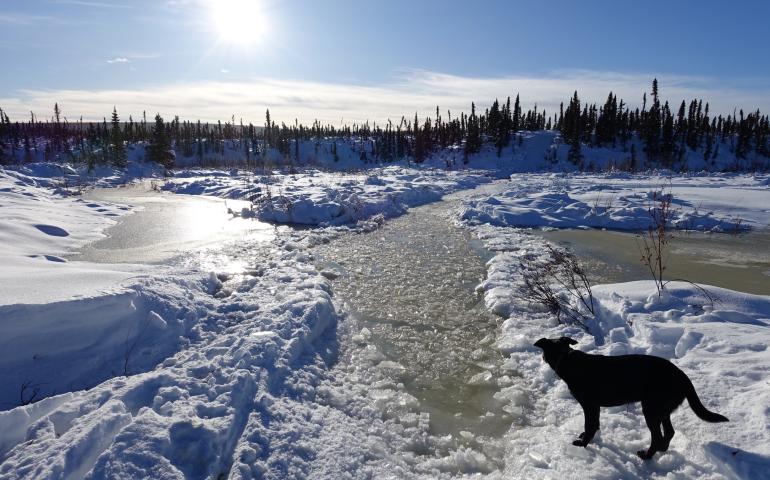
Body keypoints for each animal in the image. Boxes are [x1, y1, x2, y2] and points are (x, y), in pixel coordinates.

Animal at [536, 336, 728, 460]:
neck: (566, 359)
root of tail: (682, 376)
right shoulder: (595, 406)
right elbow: (594, 424)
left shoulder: (590, 405)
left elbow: (589, 425)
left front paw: (582, 443)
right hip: (662, 408)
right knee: (669, 432)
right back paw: (662, 449)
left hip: (651, 409)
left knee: (657, 436)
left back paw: (647, 456)